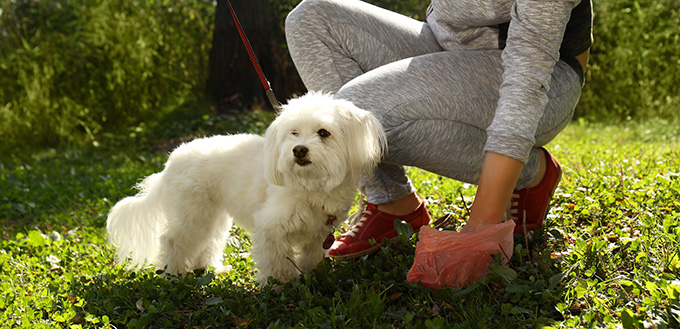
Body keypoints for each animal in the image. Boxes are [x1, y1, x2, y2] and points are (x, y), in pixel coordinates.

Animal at [104, 93, 386, 284]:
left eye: (324, 133)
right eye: (294, 133)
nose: (299, 150)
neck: (310, 186)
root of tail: (169, 164)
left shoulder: (319, 233)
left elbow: (311, 256)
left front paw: (310, 275)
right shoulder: (270, 228)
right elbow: (276, 260)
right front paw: (281, 284)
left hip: (213, 216)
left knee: (207, 242)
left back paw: (209, 268)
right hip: (193, 214)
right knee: (172, 240)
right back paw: (174, 274)